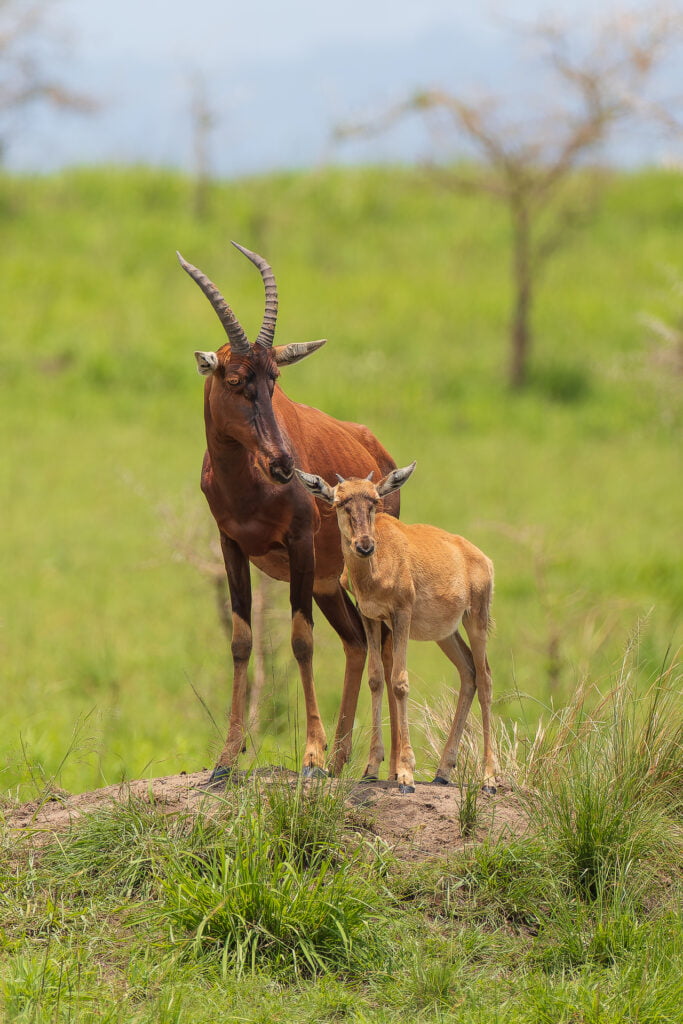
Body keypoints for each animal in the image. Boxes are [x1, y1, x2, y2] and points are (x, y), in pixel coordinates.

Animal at [177, 242, 399, 783]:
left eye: (275, 378)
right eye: (237, 378)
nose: (283, 464)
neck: (247, 484)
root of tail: (375, 447)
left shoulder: (299, 545)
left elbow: (301, 640)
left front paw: (311, 756)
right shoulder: (231, 546)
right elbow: (241, 640)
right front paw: (225, 759)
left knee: (382, 644)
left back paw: (364, 765)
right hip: (328, 582)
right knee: (357, 641)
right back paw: (341, 760)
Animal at [296, 463, 497, 795]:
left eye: (375, 500)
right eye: (339, 502)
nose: (365, 546)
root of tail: (481, 557)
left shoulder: (402, 614)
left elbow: (400, 682)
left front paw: (405, 774)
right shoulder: (371, 617)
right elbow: (377, 679)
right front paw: (370, 769)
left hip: (476, 619)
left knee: (486, 679)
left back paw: (490, 779)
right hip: (445, 632)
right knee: (468, 673)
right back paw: (442, 772)